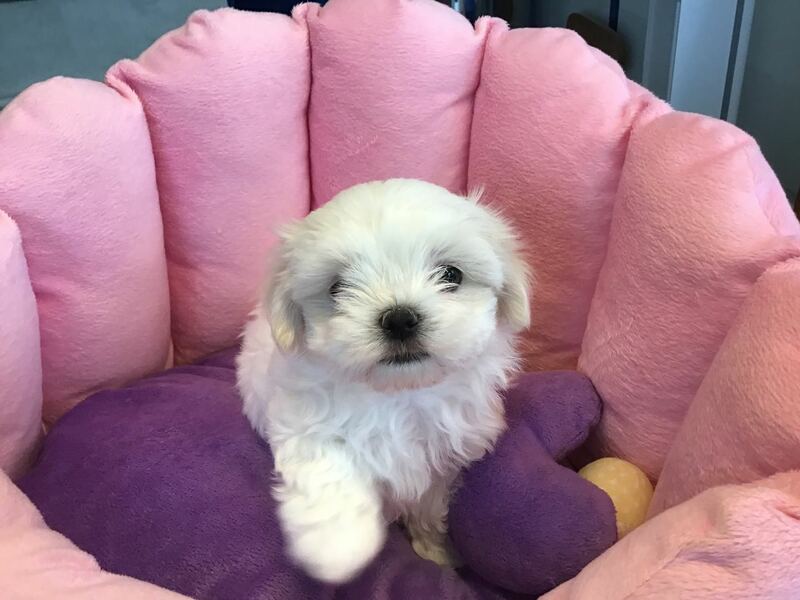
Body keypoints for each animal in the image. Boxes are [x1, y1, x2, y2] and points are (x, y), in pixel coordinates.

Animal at [237, 178, 531, 583]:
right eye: (337, 288)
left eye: (451, 275)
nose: (400, 318)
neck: (397, 395)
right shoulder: (305, 422)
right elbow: (329, 470)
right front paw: (336, 546)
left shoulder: (444, 457)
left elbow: (430, 503)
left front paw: (434, 549)